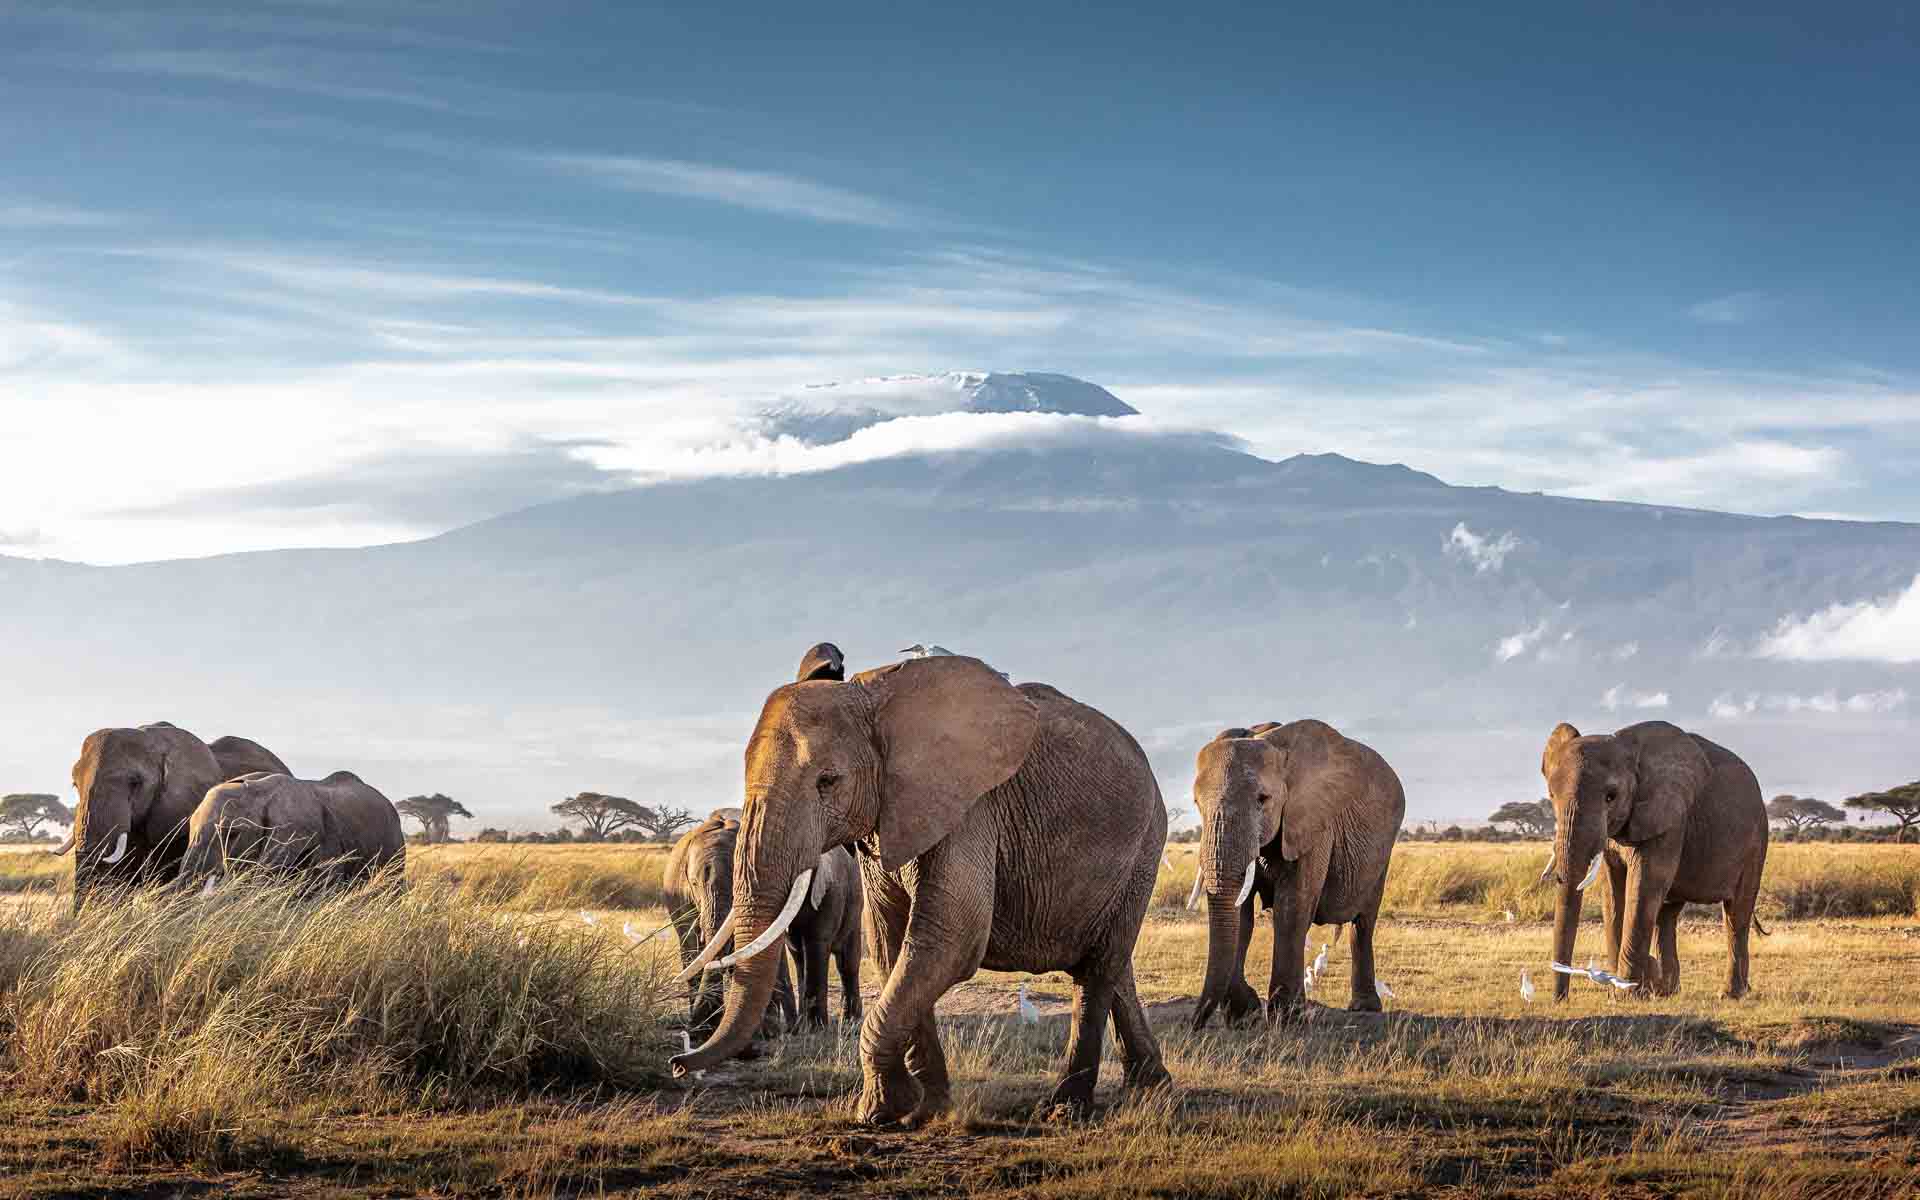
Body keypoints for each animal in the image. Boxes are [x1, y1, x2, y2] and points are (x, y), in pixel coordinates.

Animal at [669, 653, 1171, 1126]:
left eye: (827, 781)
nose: (677, 1063)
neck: (873, 696)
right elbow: (893, 944)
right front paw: (921, 1110)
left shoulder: (969, 809)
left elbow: (949, 939)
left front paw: (883, 1112)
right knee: (1112, 962)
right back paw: (1152, 1087)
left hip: (1146, 842)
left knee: (1098, 969)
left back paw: (1067, 1109)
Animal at [1191, 720, 1405, 1027]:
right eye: (1197, 803)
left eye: (1263, 799)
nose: (1194, 1024)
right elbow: (1242, 915)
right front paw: (1246, 1015)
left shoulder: (1313, 824)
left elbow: (1292, 906)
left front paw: (1288, 1017)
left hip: (1382, 852)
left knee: (1363, 923)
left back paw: (1364, 1008)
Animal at [1541, 720, 1769, 1000]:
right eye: (1551, 796)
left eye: (1611, 796)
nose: (1559, 999)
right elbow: (1613, 892)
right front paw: (1622, 990)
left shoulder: (1671, 819)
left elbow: (1644, 885)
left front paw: (1626, 993)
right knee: (1666, 914)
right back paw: (1666, 991)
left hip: (1756, 843)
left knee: (1737, 914)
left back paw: (1730, 994)